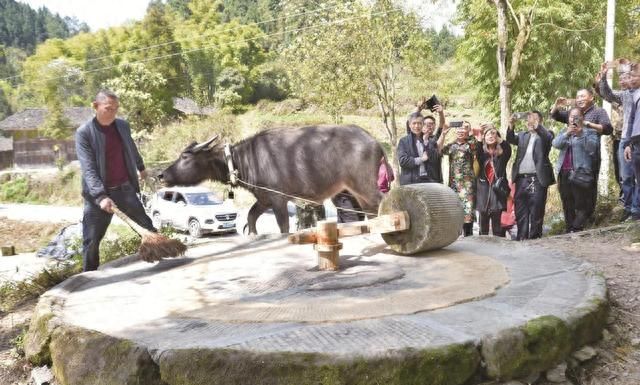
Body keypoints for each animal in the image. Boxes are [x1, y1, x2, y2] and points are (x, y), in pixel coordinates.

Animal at [158, 125, 384, 234]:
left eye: (185, 156)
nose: (161, 175)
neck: (245, 160)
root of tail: (374, 141)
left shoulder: (278, 200)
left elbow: (283, 226)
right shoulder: (264, 198)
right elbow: (250, 217)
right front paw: (253, 234)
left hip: (365, 186)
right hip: (355, 191)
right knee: (369, 212)